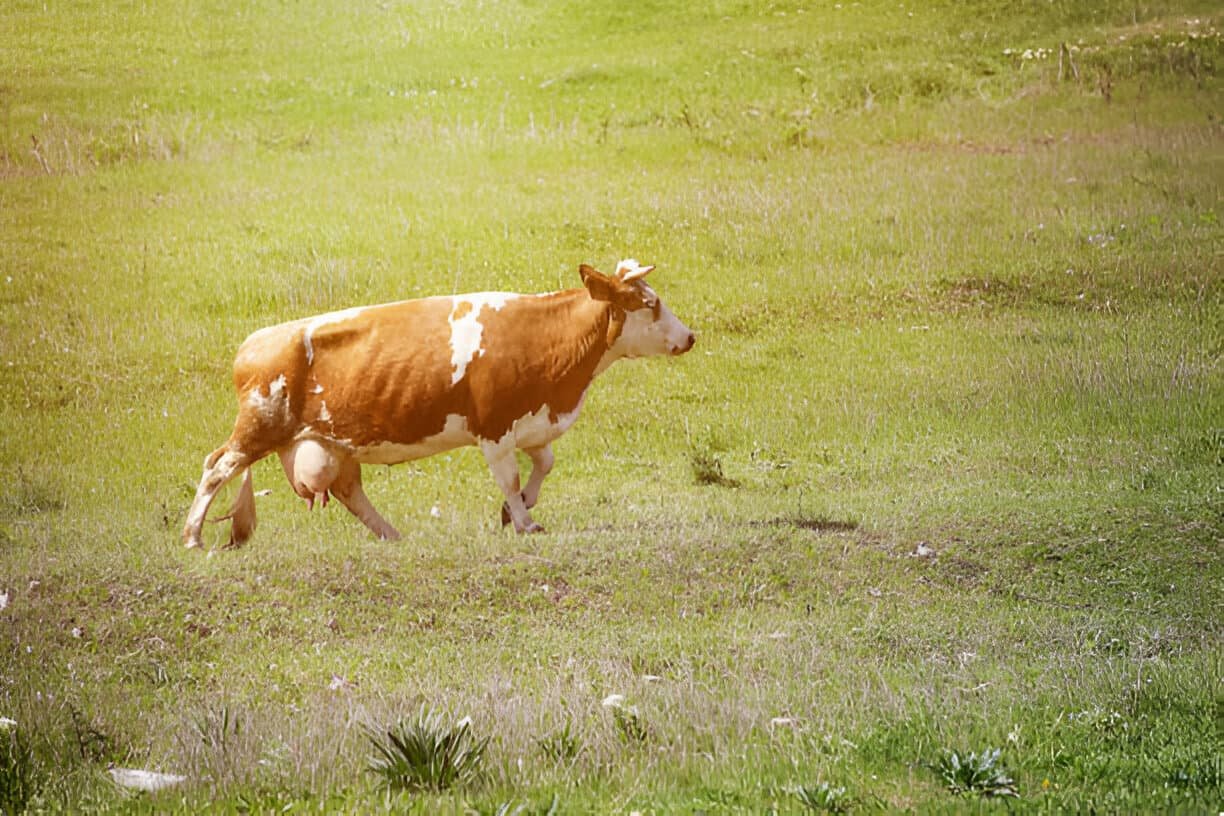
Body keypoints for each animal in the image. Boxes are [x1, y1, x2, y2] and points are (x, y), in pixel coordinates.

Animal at [182, 259, 695, 548]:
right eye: (649, 304)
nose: (690, 337)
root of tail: (253, 343)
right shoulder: (493, 427)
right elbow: (510, 478)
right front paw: (524, 522)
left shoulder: (531, 418)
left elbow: (543, 463)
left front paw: (517, 510)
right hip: (259, 427)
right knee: (216, 468)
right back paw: (191, 536)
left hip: (332, 443)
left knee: (349, 490)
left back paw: (390, 535)